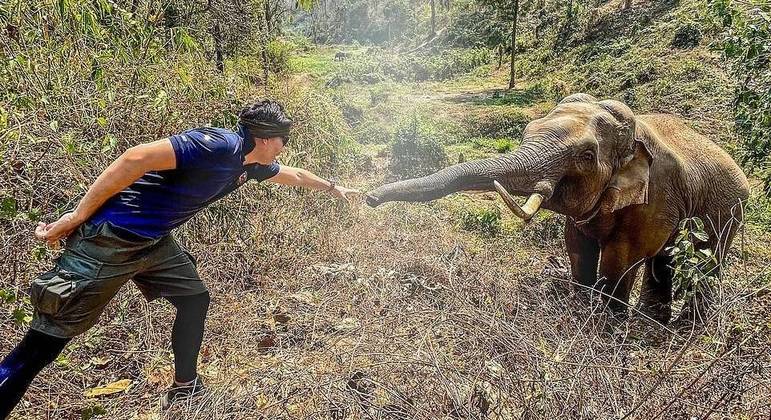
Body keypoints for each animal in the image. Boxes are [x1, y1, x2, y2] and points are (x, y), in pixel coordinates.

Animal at [366, 93, 748, 324]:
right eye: (527, 131)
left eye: (587, 156)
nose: (368, 198)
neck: (632, 132)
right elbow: (577, 246)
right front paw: (581, 310)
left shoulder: (655, 196)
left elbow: (622, 258)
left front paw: (606, 329)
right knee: (664, 261)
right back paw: (654, 321)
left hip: (729, 210)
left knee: (707, 260)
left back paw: (687, 326)